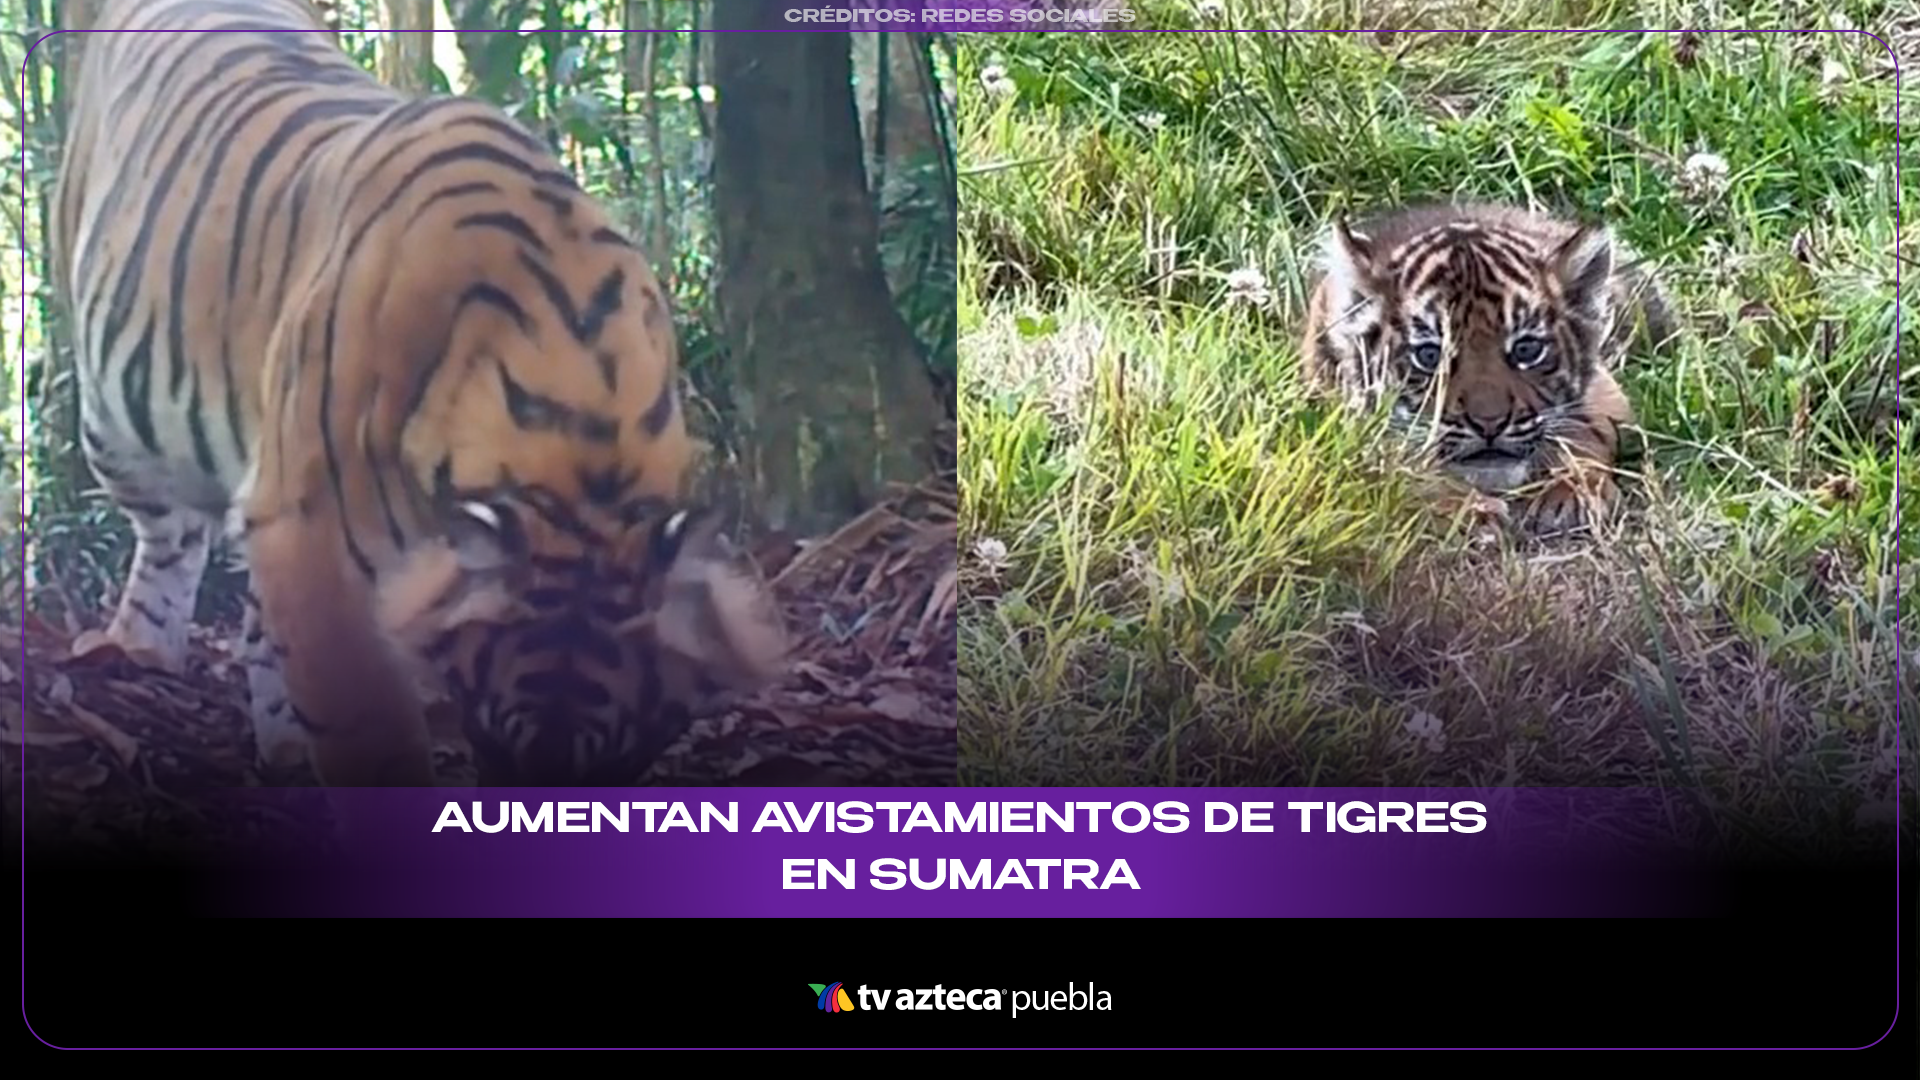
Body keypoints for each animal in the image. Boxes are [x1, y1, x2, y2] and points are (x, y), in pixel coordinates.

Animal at [49, 0, 789, 790]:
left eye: (619, 759)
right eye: (493, 737)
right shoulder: (311, 532)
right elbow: (370, 731)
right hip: (116, 429)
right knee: (171, 535)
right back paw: (136, 648)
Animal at [1297, 202, 1677, 532]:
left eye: (1527, 349)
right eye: (1430, 356)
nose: (1489, 424)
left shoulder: (1605, 393)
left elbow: (1585, 430)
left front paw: (1571, 493)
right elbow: (1399, 462)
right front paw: (1469, 512)